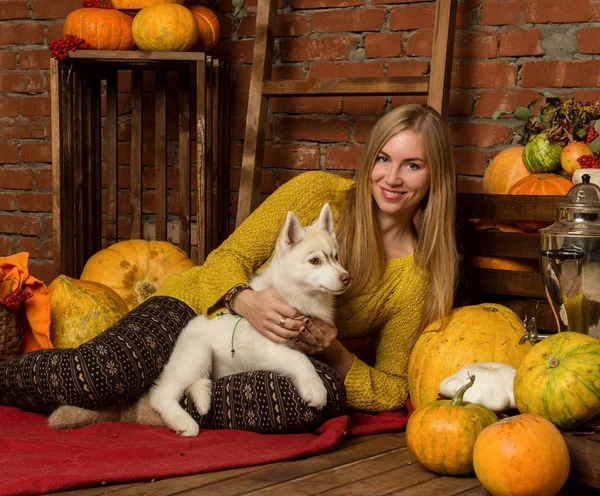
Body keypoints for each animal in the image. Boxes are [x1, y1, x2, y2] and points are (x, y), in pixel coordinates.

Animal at [52, 203, 352, 436]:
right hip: (196, 355)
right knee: (161, 394)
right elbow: (299, 359)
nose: (346, 278)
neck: (294, 295)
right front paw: (316, 388)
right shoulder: (263, 345)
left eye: (336, 257)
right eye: (315, 261)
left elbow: (301, 355)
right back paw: (183, 422)